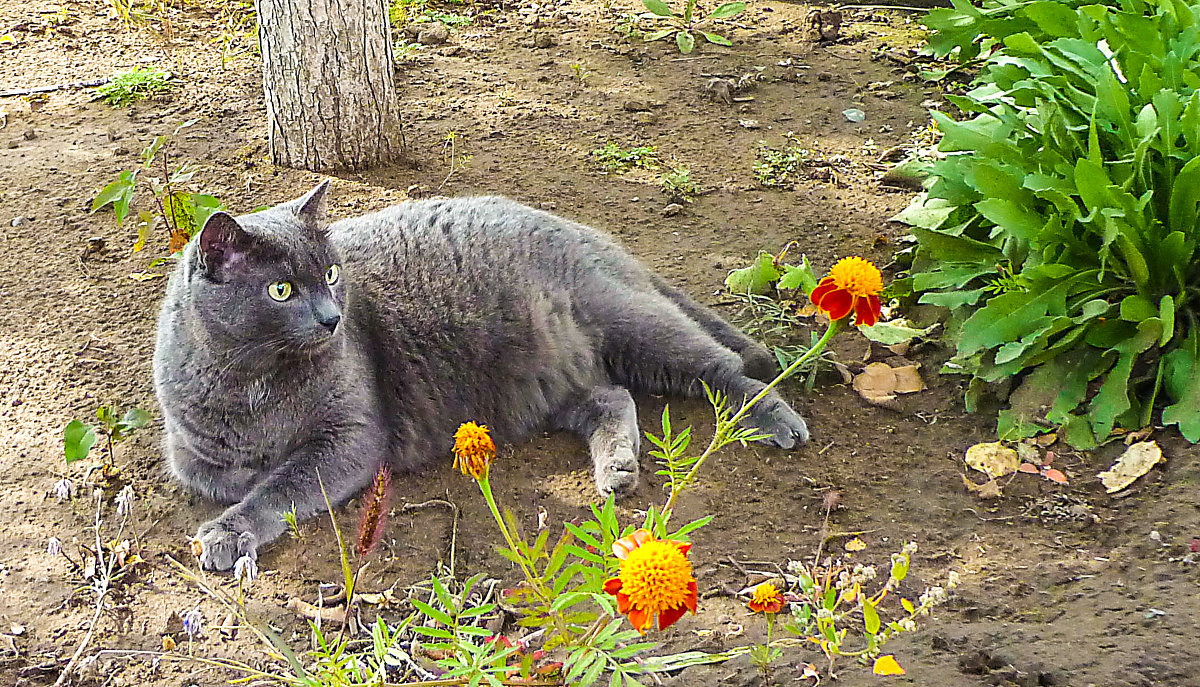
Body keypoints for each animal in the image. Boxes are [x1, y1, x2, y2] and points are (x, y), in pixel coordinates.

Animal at [150, 181, 806, 569]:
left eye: (332, 274)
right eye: (281, 290)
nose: (333, 318)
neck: (255, 381)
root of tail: (595, 236)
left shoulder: (354, 438)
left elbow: (280, 486)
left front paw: (228, 532)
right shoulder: (191, 455)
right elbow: (230, 476)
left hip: (628, 322)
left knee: (724, 370)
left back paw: (778, 419)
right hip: (539, 383)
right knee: (612, 397)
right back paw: (617, 467)